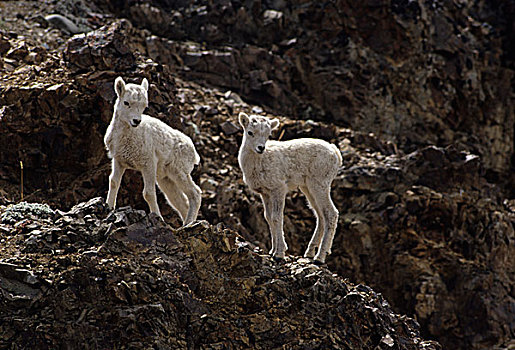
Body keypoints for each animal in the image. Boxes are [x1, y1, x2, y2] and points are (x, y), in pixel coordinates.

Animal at [104, 76, 202, 224]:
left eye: (144, 106)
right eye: (126, 102)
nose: (136, 121)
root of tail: (193, 152)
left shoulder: (148, 164)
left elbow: (148, 193)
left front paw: (157, 217)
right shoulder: (119, 161)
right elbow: (114, 182)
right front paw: (109, 207)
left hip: (179, 172)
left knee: (195, 194)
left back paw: (188, 223)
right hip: (166, 179)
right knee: (181, 202)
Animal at [238, 112, 342, 262]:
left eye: (268, 134)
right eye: (250, 132)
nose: (260, 148)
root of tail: (336, 153)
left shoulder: (279, 189)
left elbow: (277, 217)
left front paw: (279, 254)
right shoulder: (265, 193)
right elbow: (268, 217)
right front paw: (272, 251)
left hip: (320, 185)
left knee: (331, 213)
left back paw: (319, 257)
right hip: (308, 188)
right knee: (320, 216)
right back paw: (310, 252)